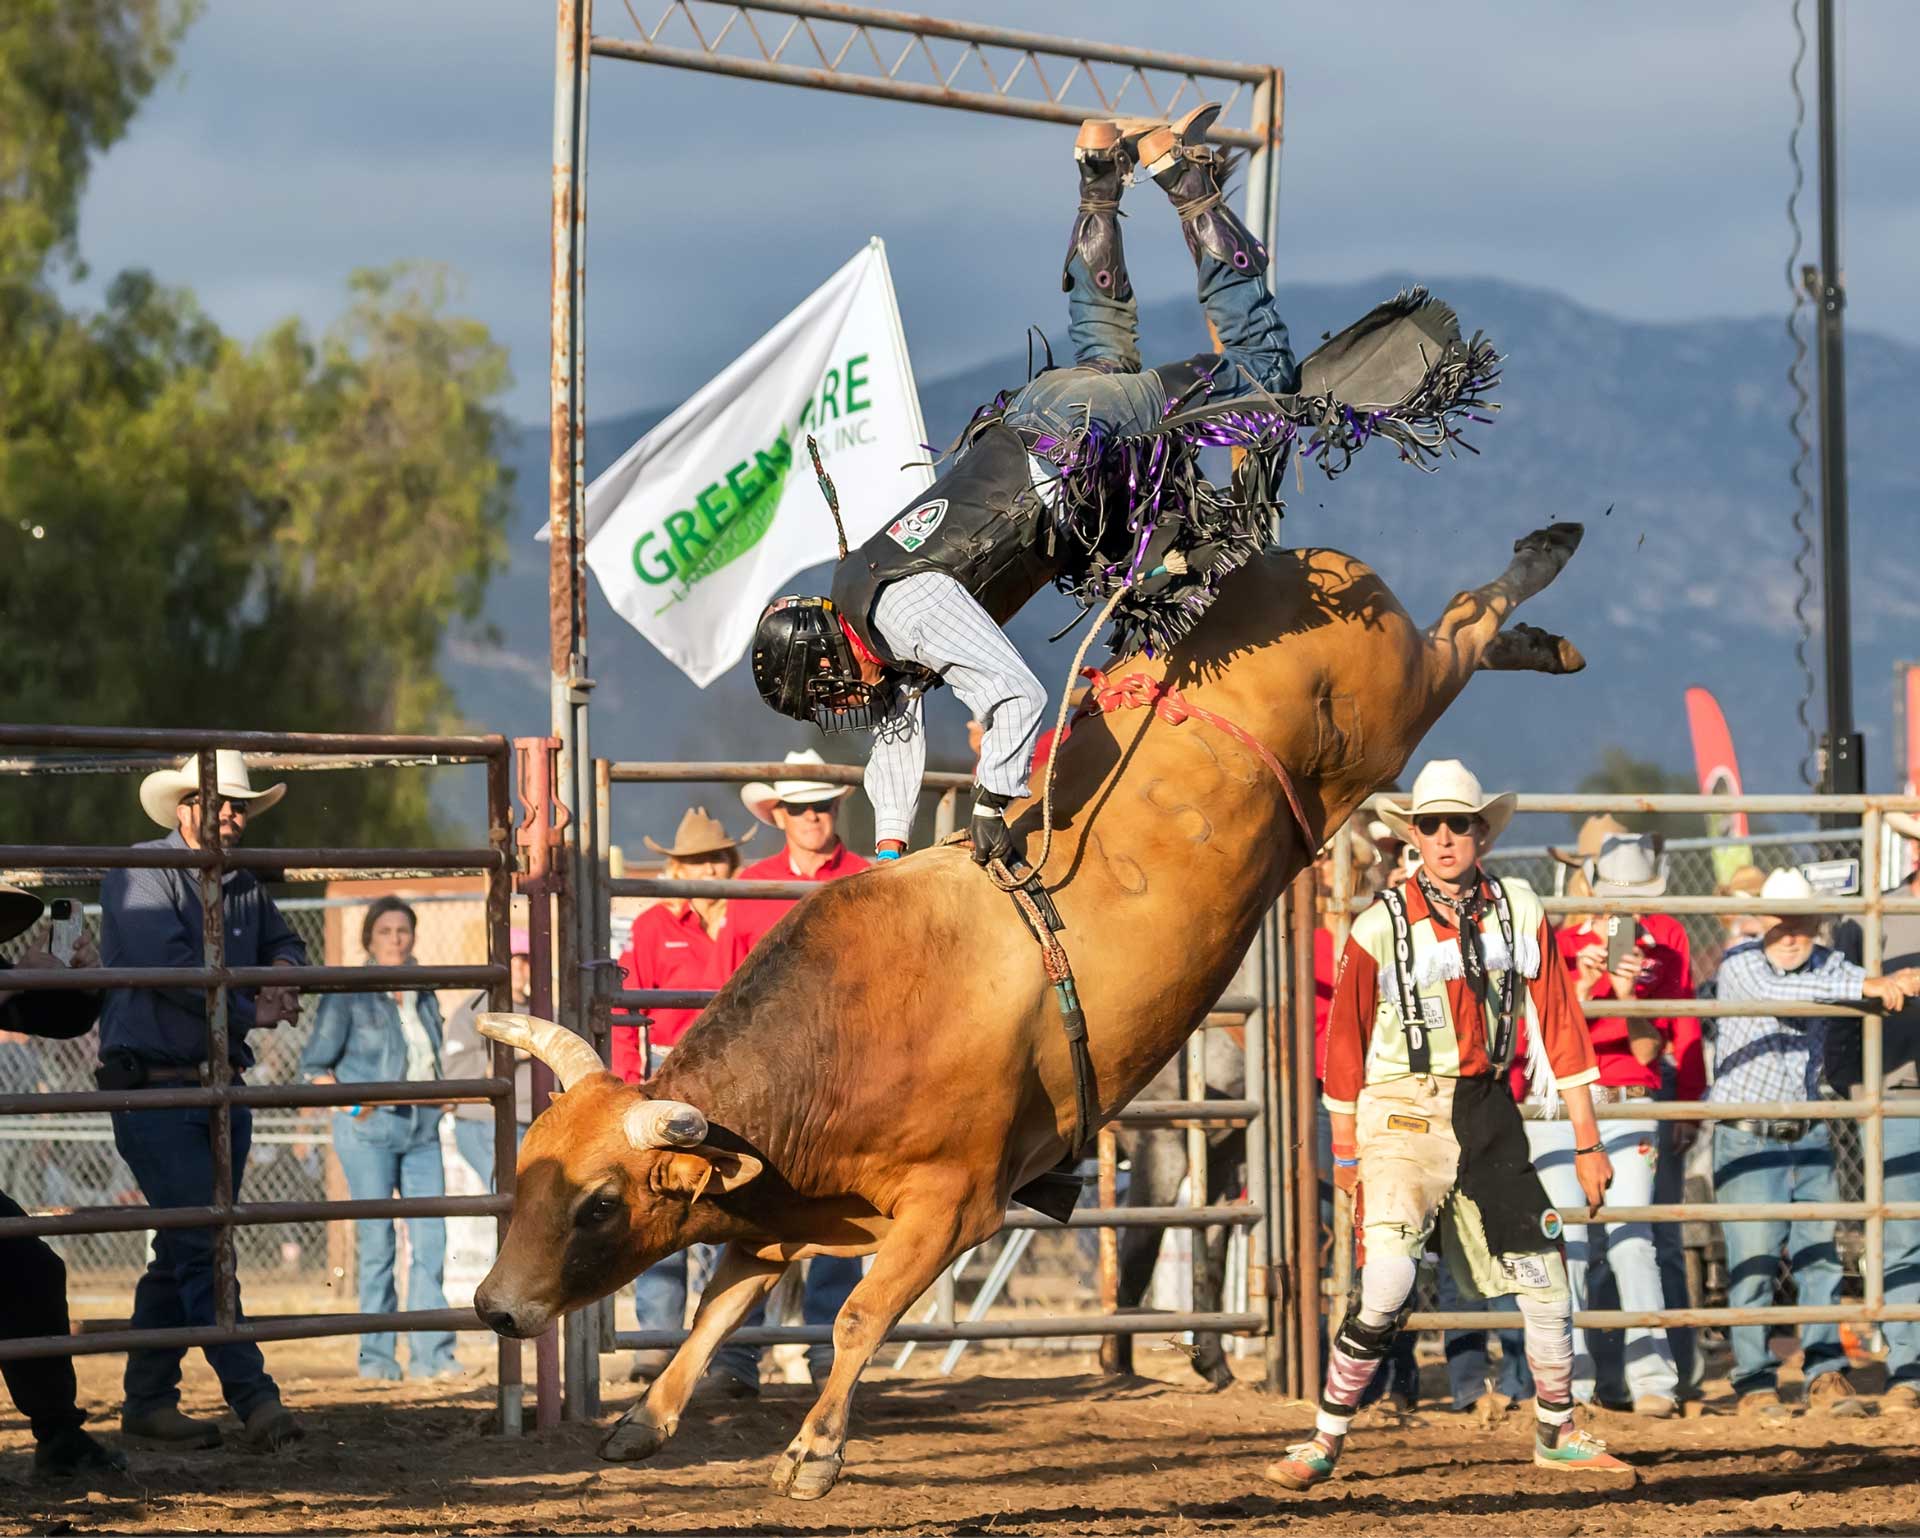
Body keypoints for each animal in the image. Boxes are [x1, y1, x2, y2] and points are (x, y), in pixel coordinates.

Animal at [472, 522, 1582, 1497]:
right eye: (525, 1172)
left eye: (597, 1203)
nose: (494, 1307)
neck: (850, 1030)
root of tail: (1294, 565)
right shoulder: (782, 1202)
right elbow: (717, 1304)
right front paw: (642, 1421)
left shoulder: (954, 1207)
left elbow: (858, 1316)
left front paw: (814, 1454)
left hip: (1391, 705)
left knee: (1461, 627)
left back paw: (1543, 573)